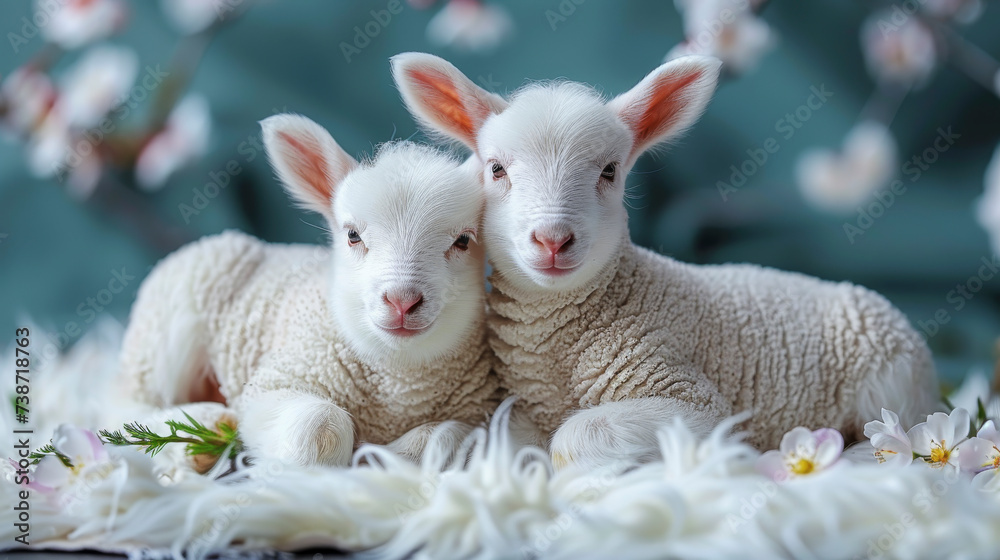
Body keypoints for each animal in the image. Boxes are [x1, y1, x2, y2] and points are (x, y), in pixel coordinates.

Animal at [118, 113, 500, 467]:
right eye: (353, 235)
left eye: (463, 240)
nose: (402, 302)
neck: (398, 379)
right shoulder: (270, 386)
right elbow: (320, 426)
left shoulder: (483, 413)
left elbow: (439, 439)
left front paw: (378, 458)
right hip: (160, 337)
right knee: (126, 401)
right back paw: (205, 427)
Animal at [391, 52, 940, 469]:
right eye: (497, 170)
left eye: (610, 171)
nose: (552, 240)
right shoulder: (522, 405)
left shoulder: (695, 403)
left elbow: (574, 437)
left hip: (891, 385)